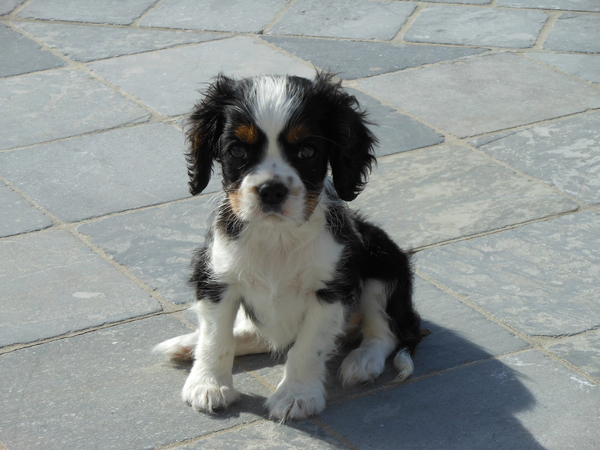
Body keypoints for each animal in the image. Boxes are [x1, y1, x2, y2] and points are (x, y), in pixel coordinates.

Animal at [155, 71, 422, 422]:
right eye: (237, 151)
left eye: (307, 151)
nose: (271, 190)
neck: (276, 235)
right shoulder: (216, 277)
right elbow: (216, 336)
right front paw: (208, 385)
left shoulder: (332, 287)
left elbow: (307, 347)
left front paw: (297, 396)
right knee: (256, 335)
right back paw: (188, 344)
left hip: (382, 262)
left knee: (386, 332)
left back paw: (362, 361)